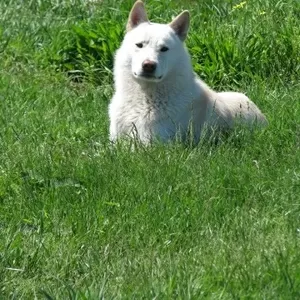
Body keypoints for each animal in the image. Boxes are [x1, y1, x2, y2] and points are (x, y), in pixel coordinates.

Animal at [108, 0, 268, 145]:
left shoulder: (151, 145)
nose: (148, 65)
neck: (143, 100)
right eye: (139, 45)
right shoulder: (114, 142)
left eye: (164, 49)